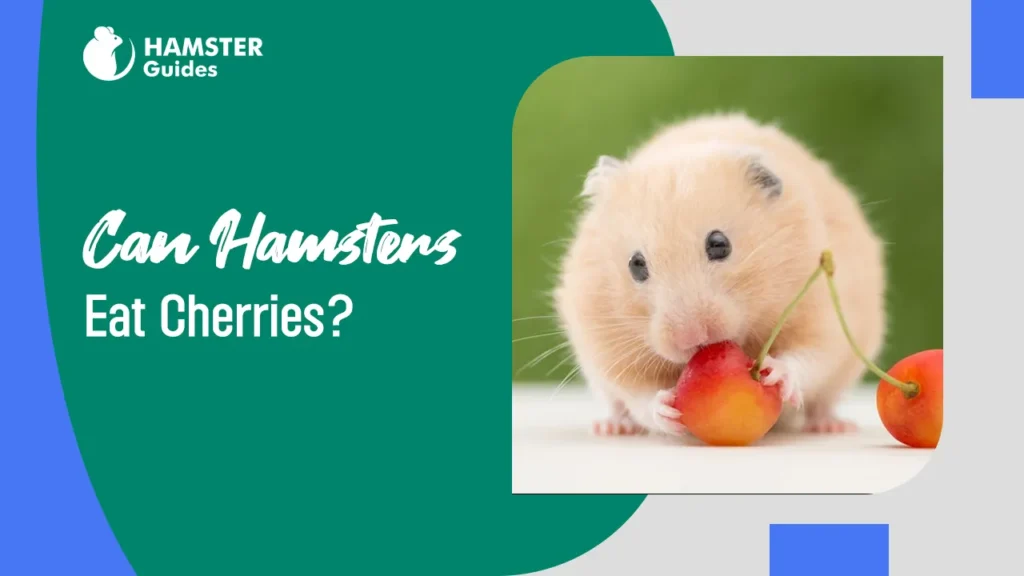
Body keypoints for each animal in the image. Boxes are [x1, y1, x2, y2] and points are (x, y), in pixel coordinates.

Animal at [552, 112, 886, 437]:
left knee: (823, 401)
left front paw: (774, 373)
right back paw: (612, 427)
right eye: (636, 265)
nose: (691, 338)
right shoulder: (606, 343)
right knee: (619, 405)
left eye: (719, 244)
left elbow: (810, 355)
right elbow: (638, 393)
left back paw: (832, 426)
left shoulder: (823, 313)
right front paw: (666, 408)